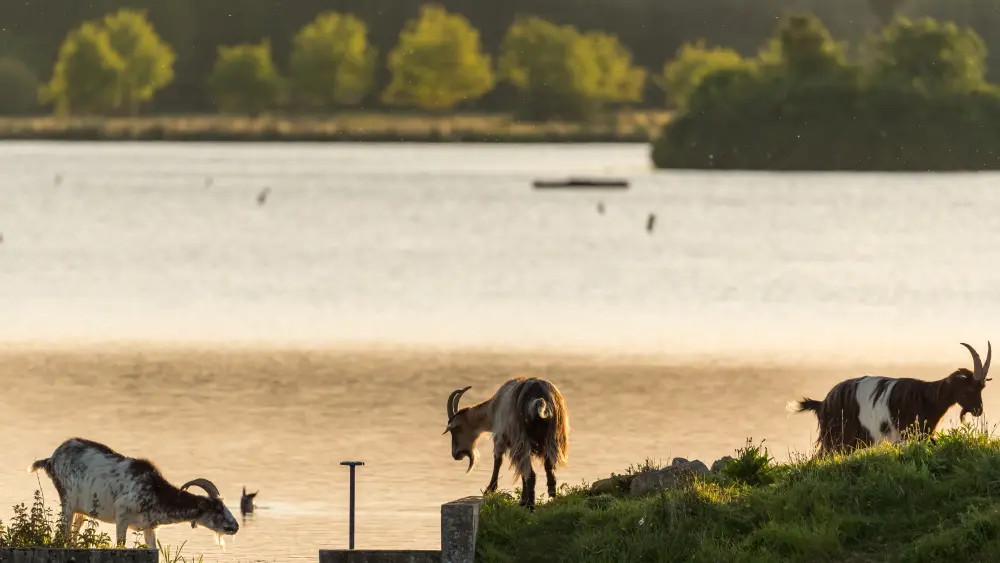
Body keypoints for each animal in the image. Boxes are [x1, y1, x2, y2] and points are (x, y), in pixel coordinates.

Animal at [29, 438, 240, 548]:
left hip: (81, 510)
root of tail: (51, 459)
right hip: (68, 501)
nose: (235, 526)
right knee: (63, 533)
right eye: (217, 509)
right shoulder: (122, 517)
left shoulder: (150, 527)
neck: (154, 491)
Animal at [440, 376, 568, 508]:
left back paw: (530, 506)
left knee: (531, 474)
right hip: (553, 439)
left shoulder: (501, 438)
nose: (456, 454)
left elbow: (498, 460)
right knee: (548, 468)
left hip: (522, 438)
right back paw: (551, 496)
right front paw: (522, 500)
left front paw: (490, 490)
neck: (493, 408)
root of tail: (539, 401)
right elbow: (522, 472)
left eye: (455, 429)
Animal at [788, 342, 992, 456]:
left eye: (982, 388)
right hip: (836, 437)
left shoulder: (924, 434)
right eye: (968, 389)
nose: (978, 410)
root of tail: (822, 403)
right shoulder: (907, 434)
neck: (927, 397)